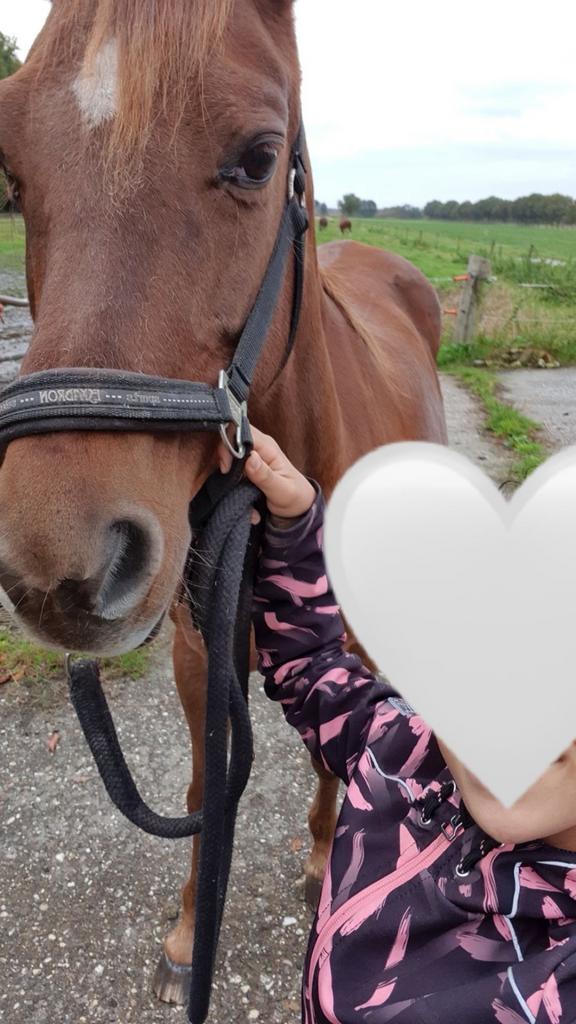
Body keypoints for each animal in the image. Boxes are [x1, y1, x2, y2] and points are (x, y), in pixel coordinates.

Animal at [0, 0, 447, 1006]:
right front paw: (185, 936)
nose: (58, 568)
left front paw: (323, 862)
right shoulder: (200, 652)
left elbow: (339, 746)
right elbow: (208, 790)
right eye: (12, 166)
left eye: (257, 156)